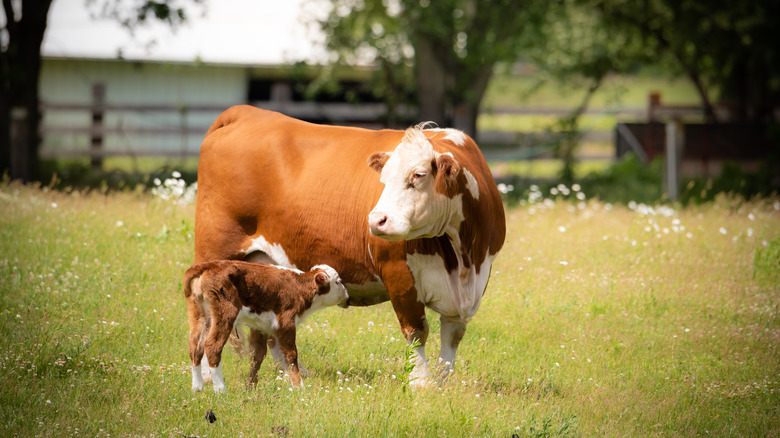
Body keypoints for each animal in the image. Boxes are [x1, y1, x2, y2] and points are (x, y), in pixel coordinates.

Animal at [184, 261, 349, 393]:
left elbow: (258, 355)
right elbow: (291, 355)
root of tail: (209, 265)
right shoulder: (286, 323)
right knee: (212, 345)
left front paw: (250, 386)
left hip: (200, 315)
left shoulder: (261, 326)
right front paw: (298, 386)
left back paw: (197, 388)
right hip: (225, 313)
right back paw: (221, 390)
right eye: (338, 281)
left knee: (195, 346)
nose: (347, 295)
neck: (299, 288)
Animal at [194, 105, 505, 386]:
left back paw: (291, 374)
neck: (462, 258)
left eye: (418, 175)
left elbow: (452, 336)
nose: (376, 220)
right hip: (214, 256)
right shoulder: (399, 274)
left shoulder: (475, 281)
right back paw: (209, 377)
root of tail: (246, 112)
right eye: (383, 179)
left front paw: (443, 383)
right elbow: (416, 331)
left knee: (268, 332)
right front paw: (421, 383)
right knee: (206, 323)